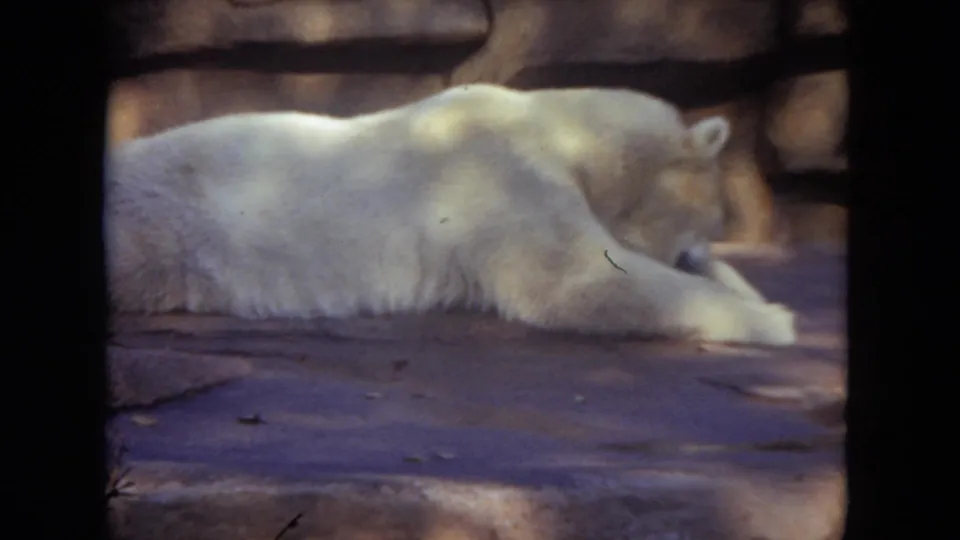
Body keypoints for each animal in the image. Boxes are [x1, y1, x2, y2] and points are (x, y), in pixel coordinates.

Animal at [105, 83, 796, 346]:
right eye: (711, 218)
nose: (693, 254)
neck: (557, 129)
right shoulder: (497, 176)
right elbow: (579, 282)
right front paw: (775, 320)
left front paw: (751, 292)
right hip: (158, 228)